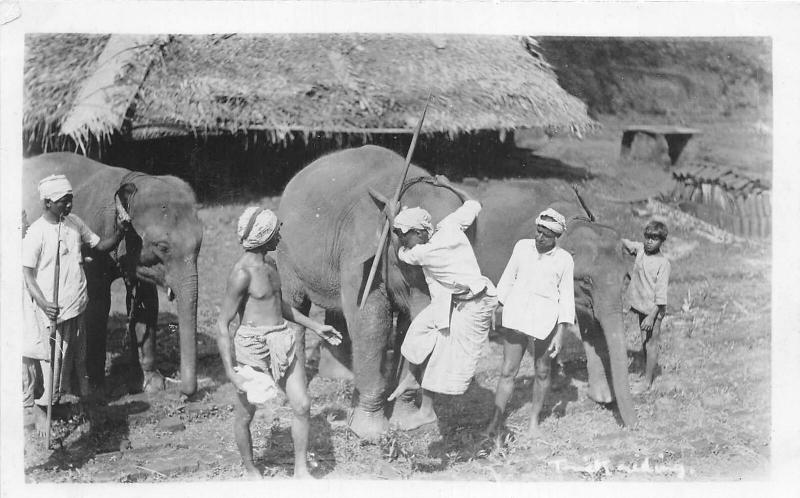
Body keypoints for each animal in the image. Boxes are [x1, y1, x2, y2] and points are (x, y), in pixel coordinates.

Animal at [22, 152, 203, 397]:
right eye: (163, 247)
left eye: (199, 244)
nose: (184, 393)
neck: (131, 180)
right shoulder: (93, 247)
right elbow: (98, 303)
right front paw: (97, 387)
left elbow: (147, 303)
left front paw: (152, 384)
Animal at [278, 145, 636, 438]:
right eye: (586, 281)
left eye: (626, 278)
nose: (630, 425)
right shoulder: (360, 254)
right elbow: (370, 320)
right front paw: (370, 431)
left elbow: (408, 327)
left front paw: (405, 418)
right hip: (285, 252)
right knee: (296, 307)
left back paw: (341, 376)